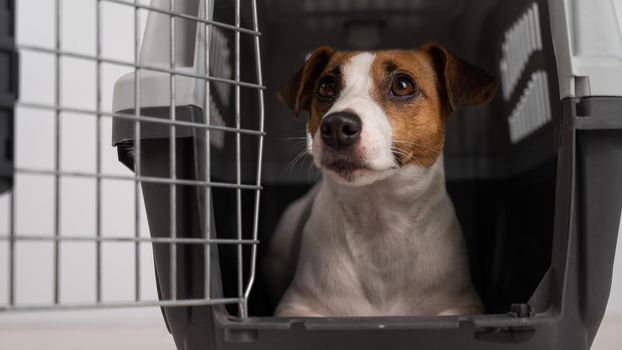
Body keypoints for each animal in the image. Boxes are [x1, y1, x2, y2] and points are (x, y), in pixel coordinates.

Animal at [266, 43, 500, 318]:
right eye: (325, 87)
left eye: (402, 85)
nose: (336, 126)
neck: (379, 222)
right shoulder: (296, 306)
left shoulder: (462, 305)